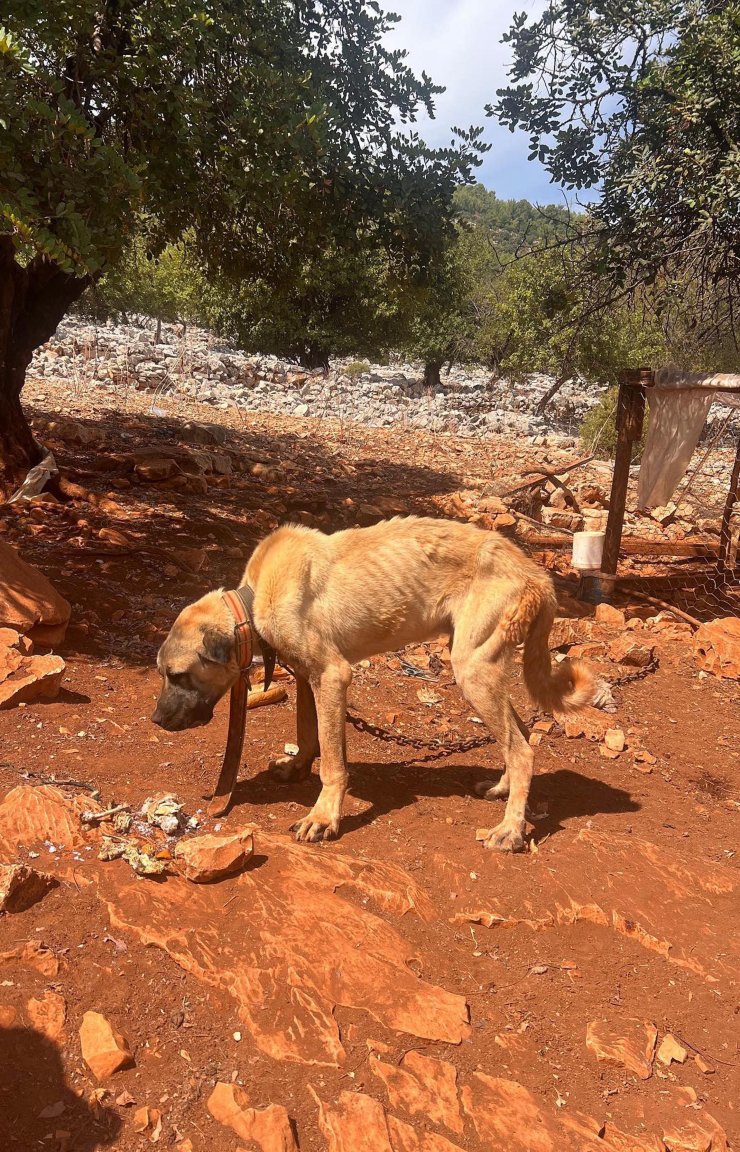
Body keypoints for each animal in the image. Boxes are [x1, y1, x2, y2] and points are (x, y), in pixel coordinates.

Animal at [150, 518, 603, 852]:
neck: (254, 598)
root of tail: (536, 573)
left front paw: (324, 817)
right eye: (162, 674)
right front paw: (297, 767)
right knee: (519, 735)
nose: (155, 720)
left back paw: (511, 829)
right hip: (478, 664)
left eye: (178, 675)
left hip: (472, 668)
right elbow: (307, 733)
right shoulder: (307, 677)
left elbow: (333, 762)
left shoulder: (333, 676)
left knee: (523, 749)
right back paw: (503, 790)